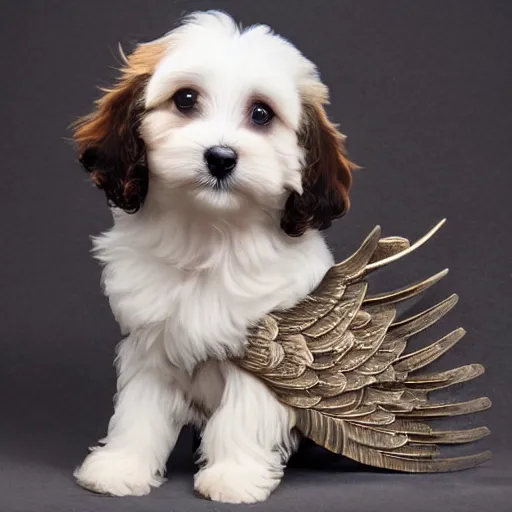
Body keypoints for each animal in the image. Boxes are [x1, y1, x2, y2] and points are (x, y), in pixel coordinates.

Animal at [74, 10, 356, 502]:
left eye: (261, 113)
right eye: (185, 100)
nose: (221, 157)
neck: (210, 233)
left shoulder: (266, 349)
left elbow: (244, 412)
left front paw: (233, 476)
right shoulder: (151, 339)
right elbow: (138, 407)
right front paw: (122, 465)